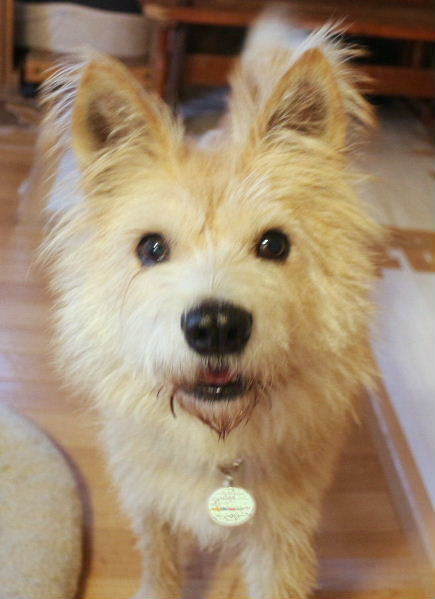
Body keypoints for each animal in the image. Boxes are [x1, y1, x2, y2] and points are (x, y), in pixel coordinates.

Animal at [37, 8, 384, 598]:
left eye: (274, 244)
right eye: (152, 248)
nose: (217, 326)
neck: (219, 447)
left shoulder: (281, 537)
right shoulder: (148, 504)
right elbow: (160, 563)